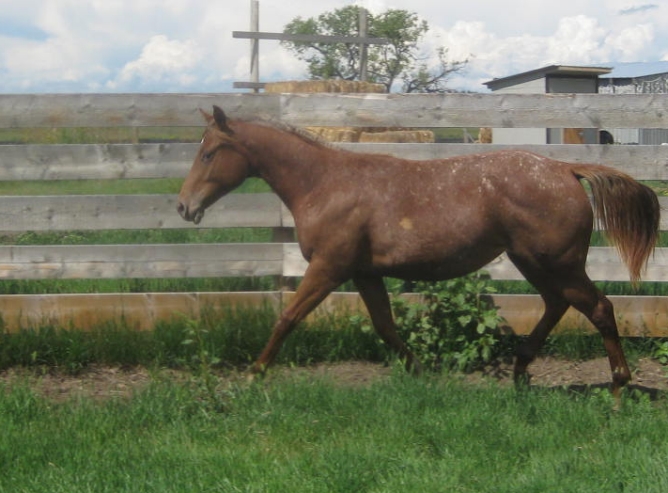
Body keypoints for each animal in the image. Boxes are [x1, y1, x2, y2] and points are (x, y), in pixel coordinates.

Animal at [175, 104, 660, 396]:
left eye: (209, 153)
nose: (184, 206)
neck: (325, 185)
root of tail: (565, 169)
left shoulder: (329, 268)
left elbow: (288, 317)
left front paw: (254, 373)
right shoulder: (365, 273)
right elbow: (386, 326)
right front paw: (422, 371)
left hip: (557, 263)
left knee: (599, 308)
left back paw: (619, 387)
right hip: (535, 262)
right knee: (558, 305)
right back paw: (521, 372)